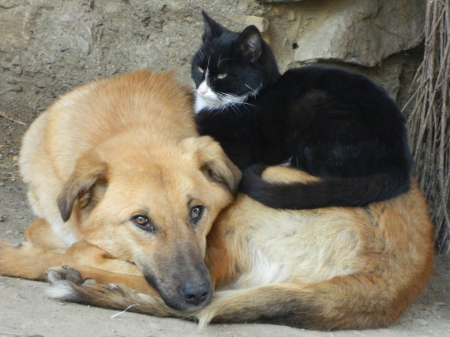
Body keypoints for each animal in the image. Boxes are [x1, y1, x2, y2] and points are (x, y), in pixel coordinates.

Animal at [42, 165, 436, 328]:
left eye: (197, 212)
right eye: (142, 221)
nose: (195, 293)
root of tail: (390, 281)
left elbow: (81, 248)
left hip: (258, 194)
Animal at [192, 11, 414, 209]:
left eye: (222, 75)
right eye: (200, 69)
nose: (202, 90)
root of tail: (400, 159)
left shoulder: (242, 151)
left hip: (314, 103)